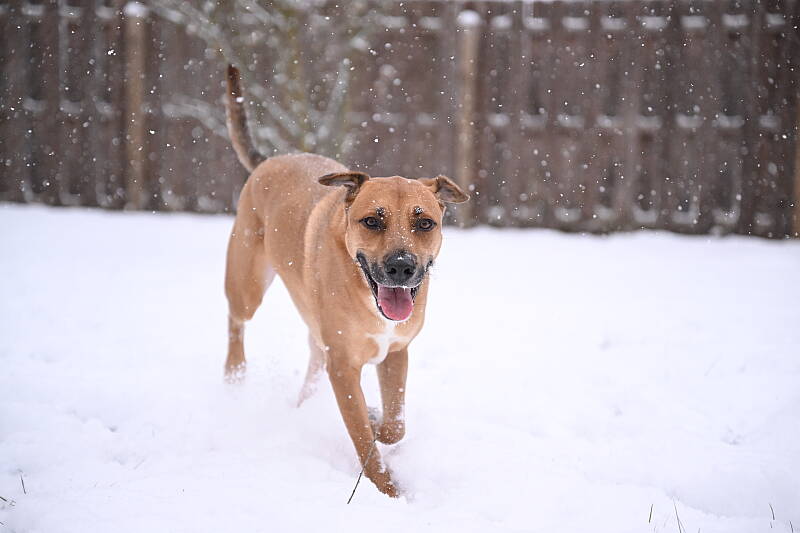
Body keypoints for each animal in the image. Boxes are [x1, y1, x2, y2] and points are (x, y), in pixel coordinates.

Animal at [222, 65, 468, 497]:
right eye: (372, 220)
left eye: (425, 223)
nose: (401, 267)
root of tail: (272, 159)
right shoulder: (343, 366)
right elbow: (362, 439)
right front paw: (387, 491)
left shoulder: (395, 352)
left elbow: (395, 424)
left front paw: (377, 417)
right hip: (247, 282)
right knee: (237, 321)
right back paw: (235, 376)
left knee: (311, 362)